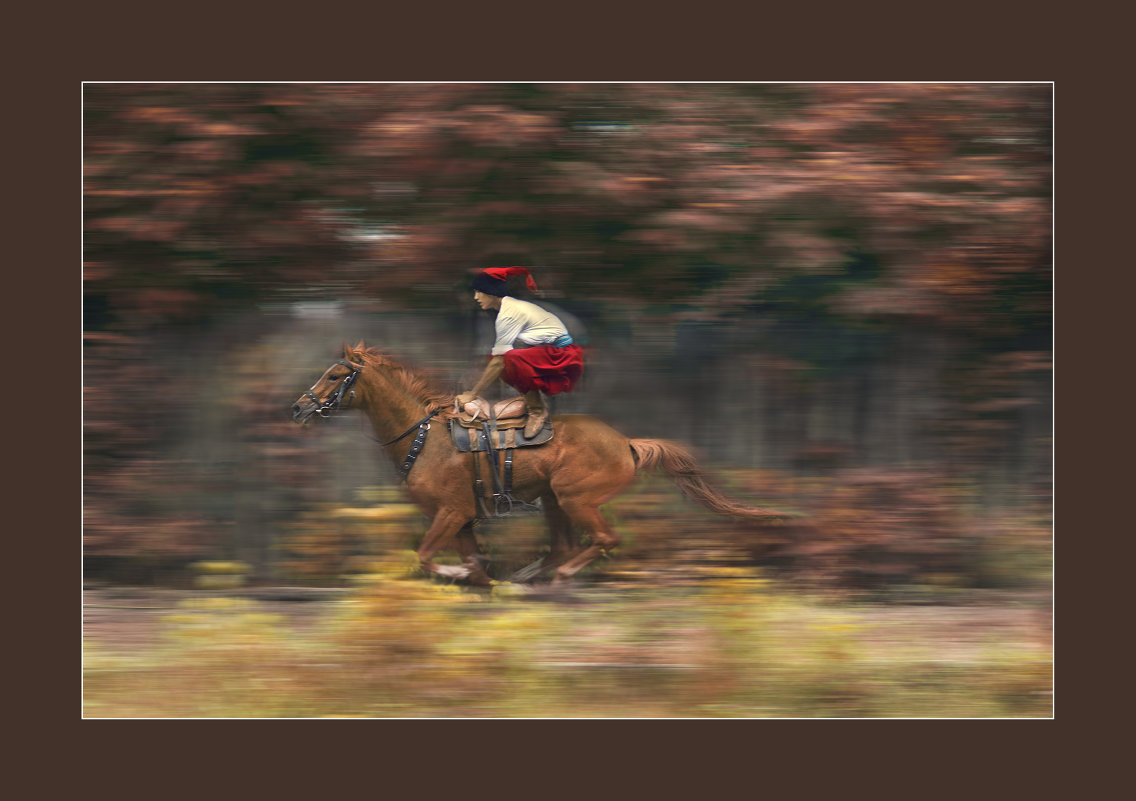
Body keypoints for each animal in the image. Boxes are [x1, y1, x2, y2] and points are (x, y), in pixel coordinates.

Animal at [293, 340, 790, 586]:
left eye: (335, 375)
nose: (299, 408)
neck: (424, 437)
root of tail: (627, 443)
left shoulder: (451, 513)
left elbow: (427, 556)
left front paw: (458, 572)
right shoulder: (463, 522)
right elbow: (471, 568)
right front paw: (477, 577)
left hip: (575, 499)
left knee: (601, 540)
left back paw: (560, 576)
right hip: (554, 501)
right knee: (564, 546)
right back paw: (531, 575)